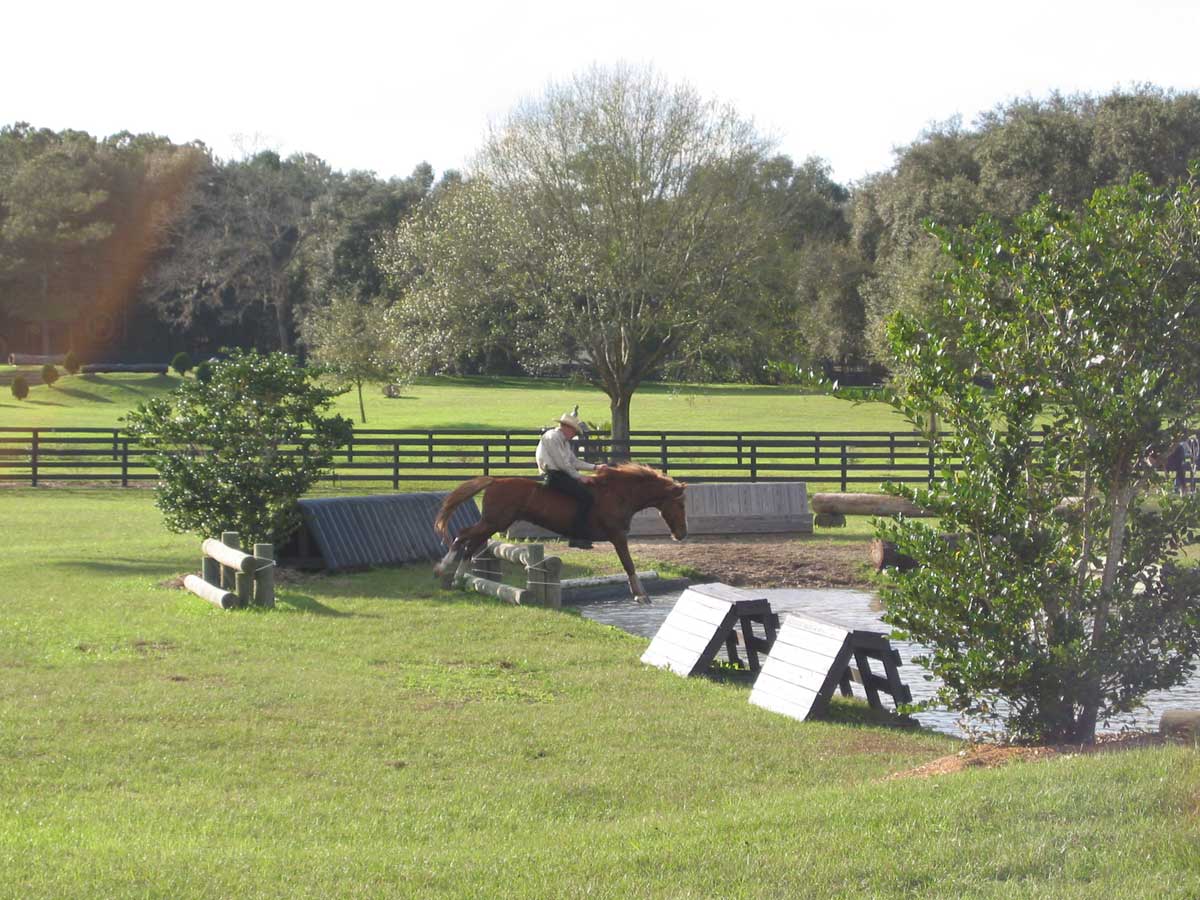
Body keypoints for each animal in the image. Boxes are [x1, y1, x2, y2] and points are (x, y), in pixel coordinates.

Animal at [436, 465, 691, 607]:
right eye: (680, 505)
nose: (682, 534)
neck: (620, 494)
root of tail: (495, 480)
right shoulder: (618, 536)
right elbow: (629, 564)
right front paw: (641, 596)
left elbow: (628, 565)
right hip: (494, 522)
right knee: (463, 536)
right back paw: (444, 567)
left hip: (493, 524)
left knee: (471, 543)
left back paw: (457, 577)